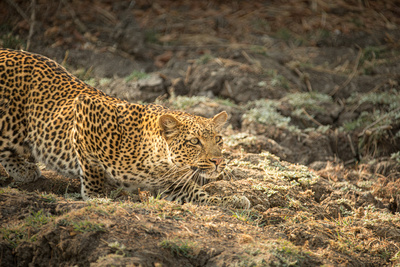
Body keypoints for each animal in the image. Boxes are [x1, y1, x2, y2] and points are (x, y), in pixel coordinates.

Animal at [0, 49, 250, 210]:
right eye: (194, 141)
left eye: (218, 140)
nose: (218, 161)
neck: (160, 163)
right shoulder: (85, 112)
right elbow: (92, 168)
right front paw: (96, 196)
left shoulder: (173, 185)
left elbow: (200, 194)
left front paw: (233, 201)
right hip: (8, 123)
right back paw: (23, 170)